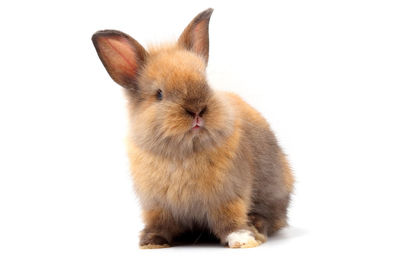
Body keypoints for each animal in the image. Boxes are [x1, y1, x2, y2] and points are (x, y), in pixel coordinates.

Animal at [92, 7, 296, 249]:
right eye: (159, 94)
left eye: (205, 83)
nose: (197, 110)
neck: (182, 153)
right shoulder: (157, 205)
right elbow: (159, 223)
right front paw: (151, 242)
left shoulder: (228, 195)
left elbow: (230, 219)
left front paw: (242, 239)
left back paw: (257, 225)